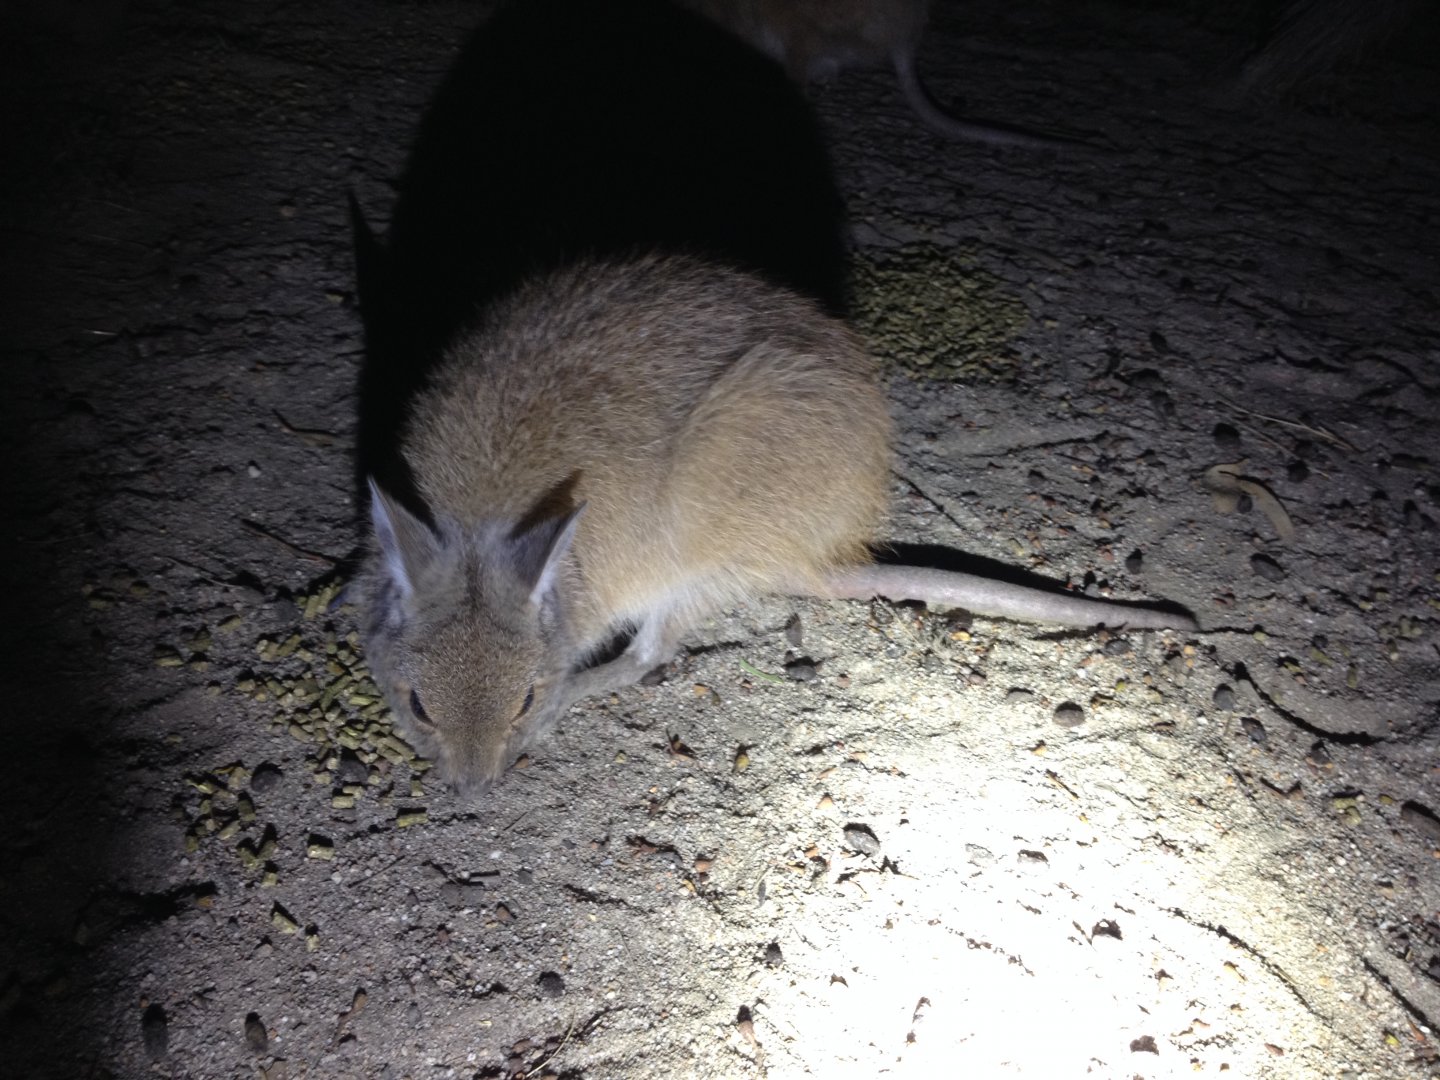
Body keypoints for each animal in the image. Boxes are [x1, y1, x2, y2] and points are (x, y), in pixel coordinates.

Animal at [357, 253, 1197, 796]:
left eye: (523, 699)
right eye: (417, 705)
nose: (472, 798)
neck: (485, 523)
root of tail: (815, 558)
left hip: (697, 551)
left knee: (650, 655)